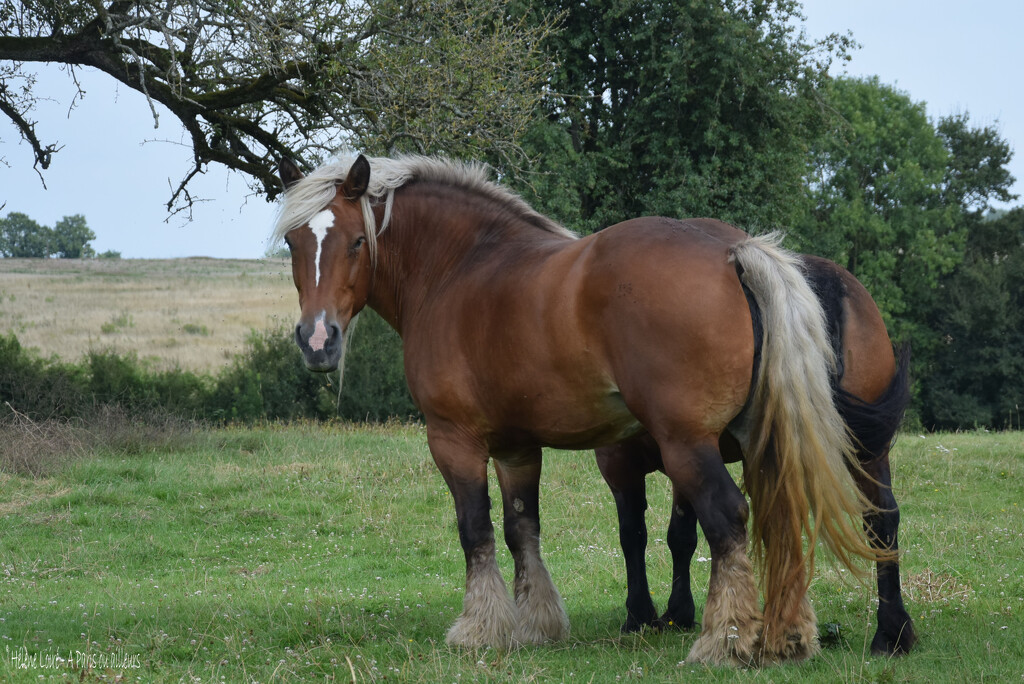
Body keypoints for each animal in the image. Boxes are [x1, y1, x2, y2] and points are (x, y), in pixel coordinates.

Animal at [598, 264, 917, 655]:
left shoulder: (624, 463)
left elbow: (633, 535)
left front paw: (640, 615)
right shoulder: (687, 460)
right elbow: (681, 537)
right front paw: (678, 613)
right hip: (869, 452)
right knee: (881, 520)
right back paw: (891, 632)